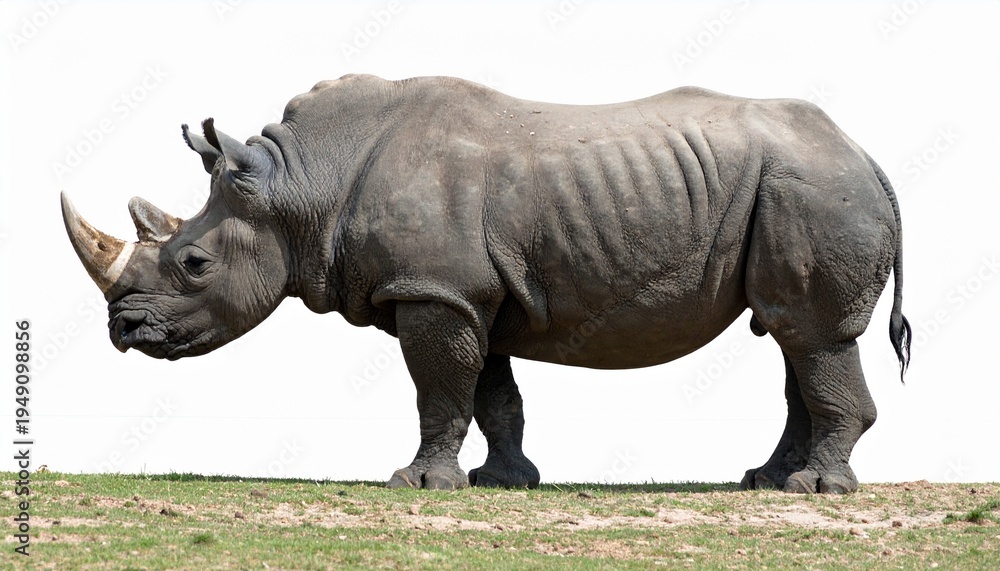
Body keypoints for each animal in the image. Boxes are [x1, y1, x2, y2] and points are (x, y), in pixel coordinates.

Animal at [62, 74, 911, 493]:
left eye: (194, 265)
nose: (123, 330)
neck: (301, 186)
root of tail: (866, 153)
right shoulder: (467, 292)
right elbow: (492, 394)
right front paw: (503, 481)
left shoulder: (433, 290)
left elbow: (440, 391)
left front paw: (417, 483)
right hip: (801, 186)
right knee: (791, 334)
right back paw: (766, 482)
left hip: (814, 187)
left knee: (812, 334)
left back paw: (816, 491)